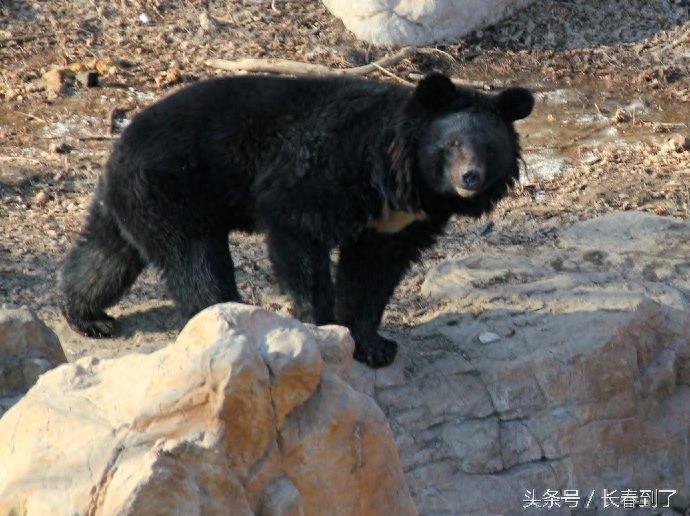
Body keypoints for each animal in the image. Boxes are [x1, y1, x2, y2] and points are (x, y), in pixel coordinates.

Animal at [60, 74, 532, 368]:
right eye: (450, 145)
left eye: (488, 147)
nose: (469, 178)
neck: (406, 181)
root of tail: (121, 139)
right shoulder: (330, 169)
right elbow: (298, 229)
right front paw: (321, 328)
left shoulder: (397, 223)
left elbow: (373, 272)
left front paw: (373, 345)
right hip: (176, 188)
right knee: (195, 261)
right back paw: (222, 319)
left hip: (139, 198)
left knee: (107, 254)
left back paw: (89, 317)